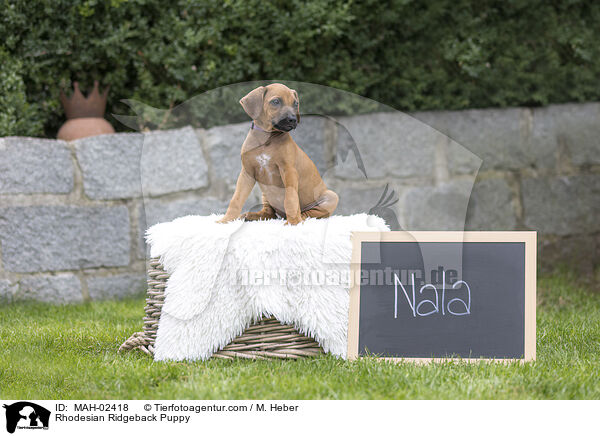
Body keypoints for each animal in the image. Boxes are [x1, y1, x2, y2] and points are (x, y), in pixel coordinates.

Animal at [217, 83, 338, 225]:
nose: (292, 119)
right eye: (276, 101)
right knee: (269, 213)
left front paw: (294, 223)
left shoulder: (288, 171)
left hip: (331, 197)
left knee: (310, 213)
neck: (267, 137)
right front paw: (226, 220)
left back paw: (299, 217)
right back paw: (251, 215)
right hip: (266, 193)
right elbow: (236, 199)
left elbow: (290, 198)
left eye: (295, 103)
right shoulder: (247, 172)